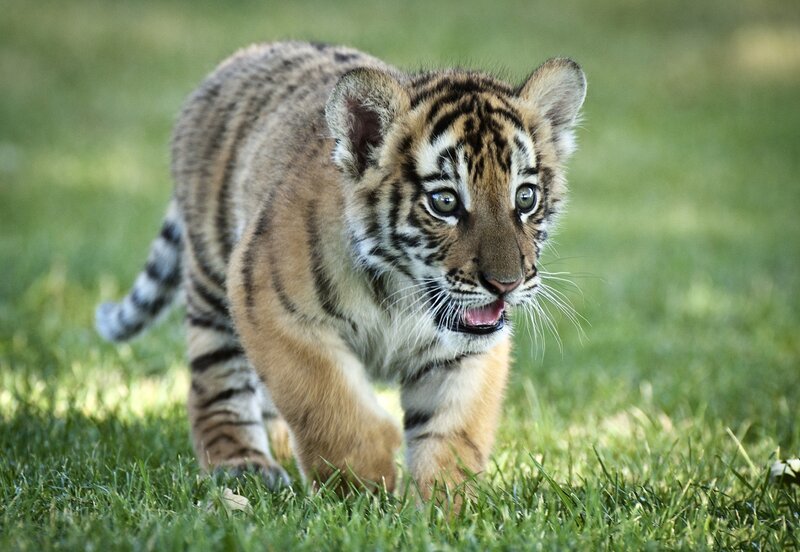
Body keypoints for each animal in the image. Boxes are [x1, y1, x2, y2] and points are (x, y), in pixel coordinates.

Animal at [95, 41, 586, 498]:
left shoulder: (465, 352)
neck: (405, 293)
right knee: (214, 383)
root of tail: (242, 56)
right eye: (444, 202)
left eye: (525, 198)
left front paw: (446, 510)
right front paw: (363, 495)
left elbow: (452, 435)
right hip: (213, 279)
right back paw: (242, 465)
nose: (506, 284)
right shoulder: (272, 307)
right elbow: (331, 408)